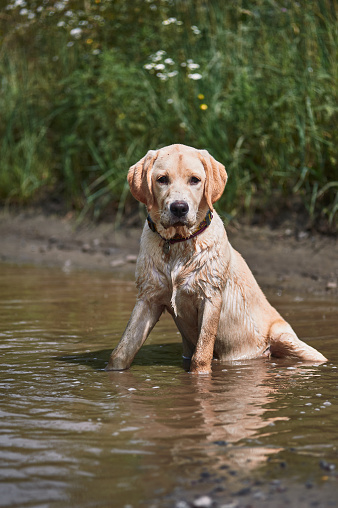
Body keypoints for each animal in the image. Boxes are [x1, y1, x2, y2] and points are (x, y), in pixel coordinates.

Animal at [106, 143, 328, 374]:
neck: (178, 243)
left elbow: (201, 356)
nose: (179, 208)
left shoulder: (210, 297)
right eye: (162, 179)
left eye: (195, 179)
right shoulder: (148, 299)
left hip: (288, 340)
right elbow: (120, 353)